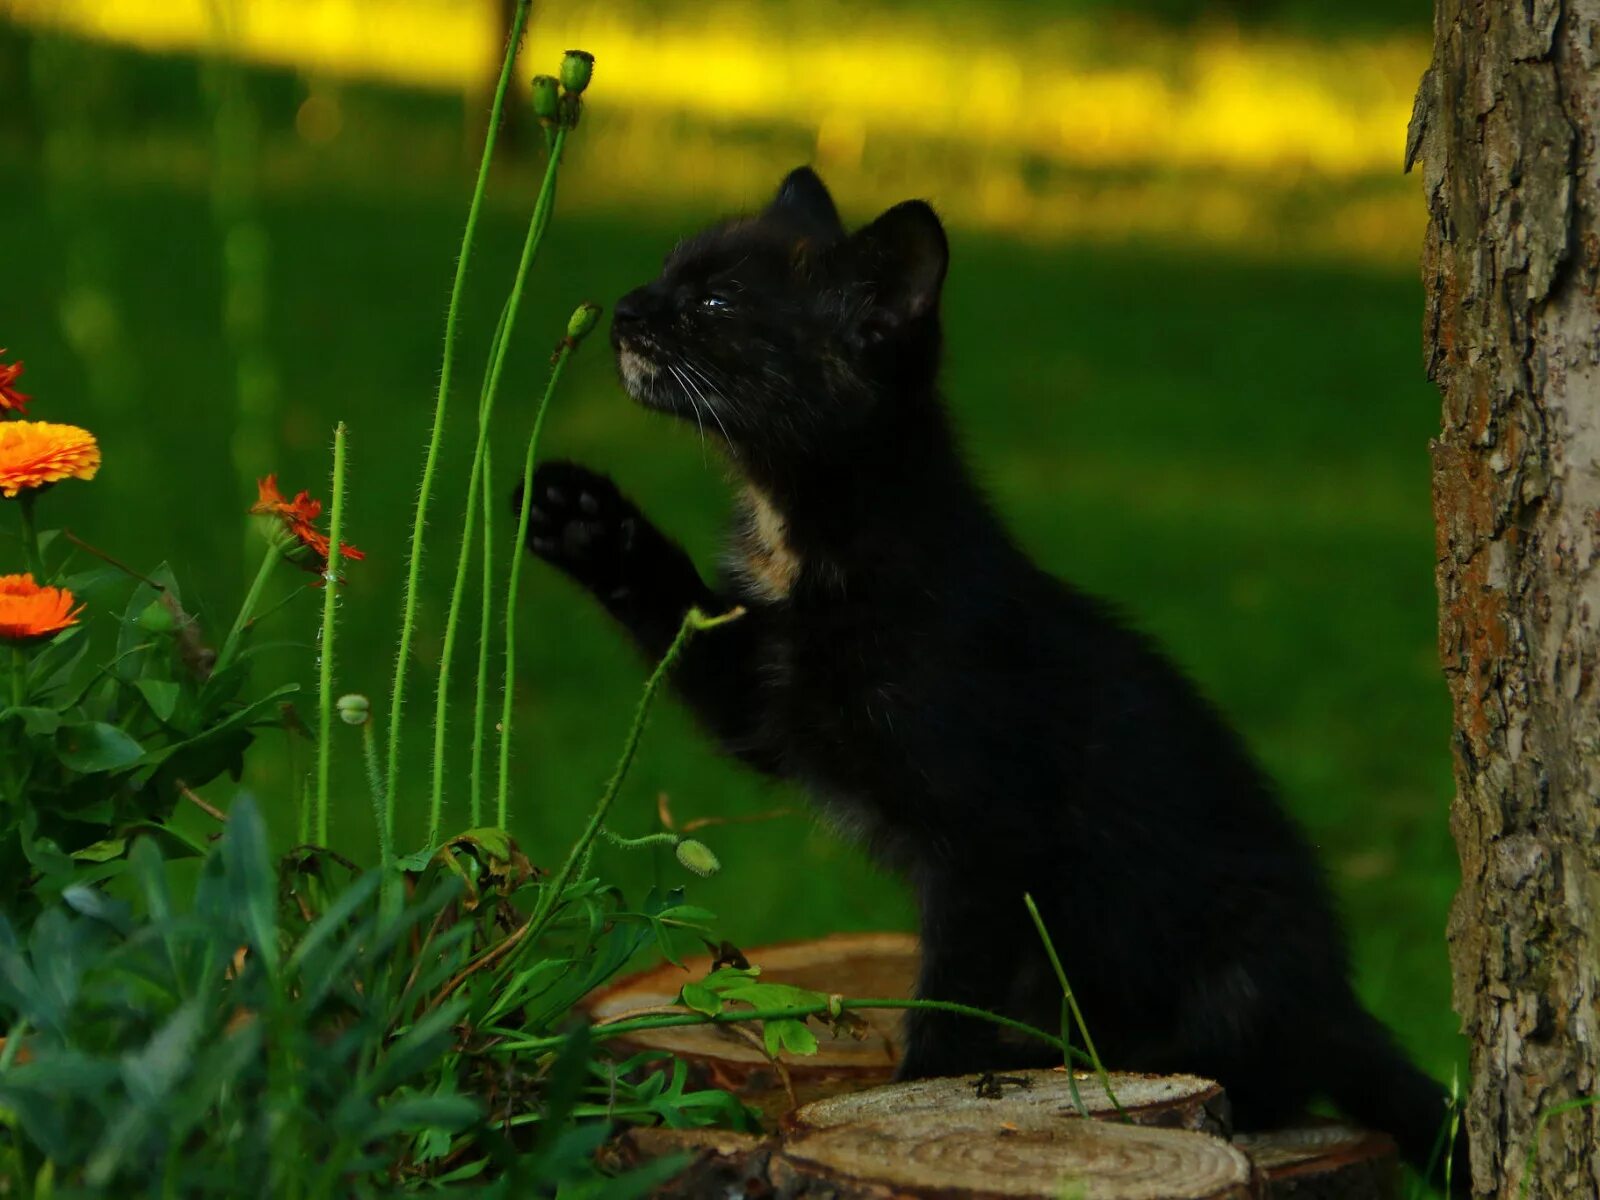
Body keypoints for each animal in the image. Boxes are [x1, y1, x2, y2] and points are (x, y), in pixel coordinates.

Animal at [521, 169, 1465, 1196]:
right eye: (666, 269)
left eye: (717, 303)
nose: (625, 309)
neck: (810, 534)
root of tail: (1335, 996)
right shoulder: (765, 709)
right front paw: (586, 519)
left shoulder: (989, 839)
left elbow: (957, 993)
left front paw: (918, 1090)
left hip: (1228, 962)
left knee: (1264, 1073)